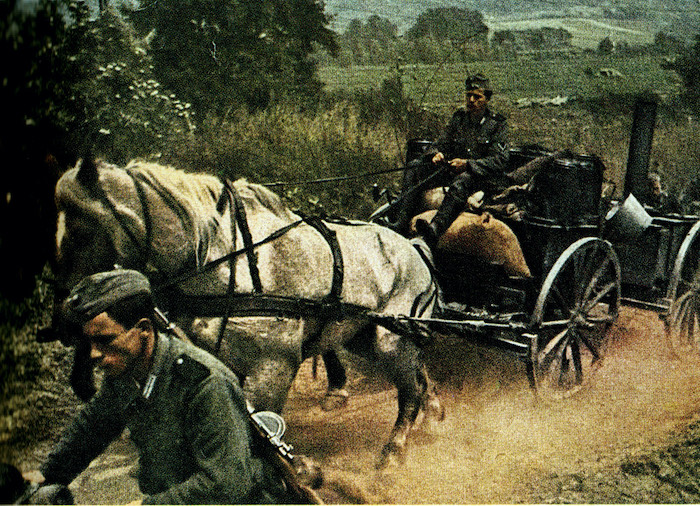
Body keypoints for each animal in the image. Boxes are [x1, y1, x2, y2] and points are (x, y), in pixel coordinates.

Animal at [50, 158, 444, 468]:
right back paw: (434, 414)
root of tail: (415, 247)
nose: (64, 321)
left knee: (409, 392)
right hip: (365, 337)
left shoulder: (271, 370)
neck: (228, 260)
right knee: (420, 376)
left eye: (81, 229)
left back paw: (392, 455)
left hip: (391, 340)